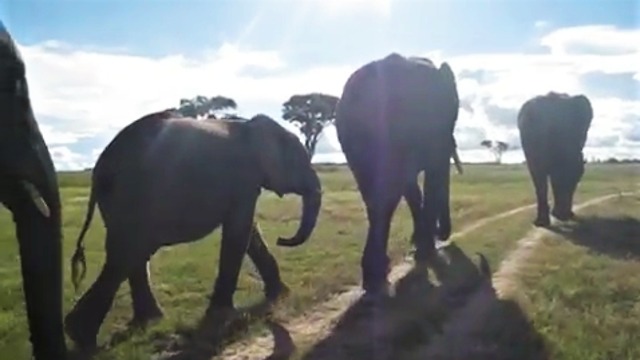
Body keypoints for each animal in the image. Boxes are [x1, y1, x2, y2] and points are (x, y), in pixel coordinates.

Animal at [63, 111, 322, 350]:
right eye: (300, 162)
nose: (282, 239)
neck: (252, 126)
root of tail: (99, 169)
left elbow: (249, 232)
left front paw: (281, 295)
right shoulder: (243, 180)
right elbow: (240, 231)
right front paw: (222, 314)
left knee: (132, 255)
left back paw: (144, 322)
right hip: (133, 197)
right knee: (126, 255)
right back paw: (83, 336)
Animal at [332, 52, 462, 296]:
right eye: (454, 117)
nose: (443, 235)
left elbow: (411, 186)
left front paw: (419, 245)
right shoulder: (434, 128)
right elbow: (433, 174)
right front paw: (424, 250)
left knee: (375, 197)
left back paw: (375, 275)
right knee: (387, 196)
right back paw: (377, 274)